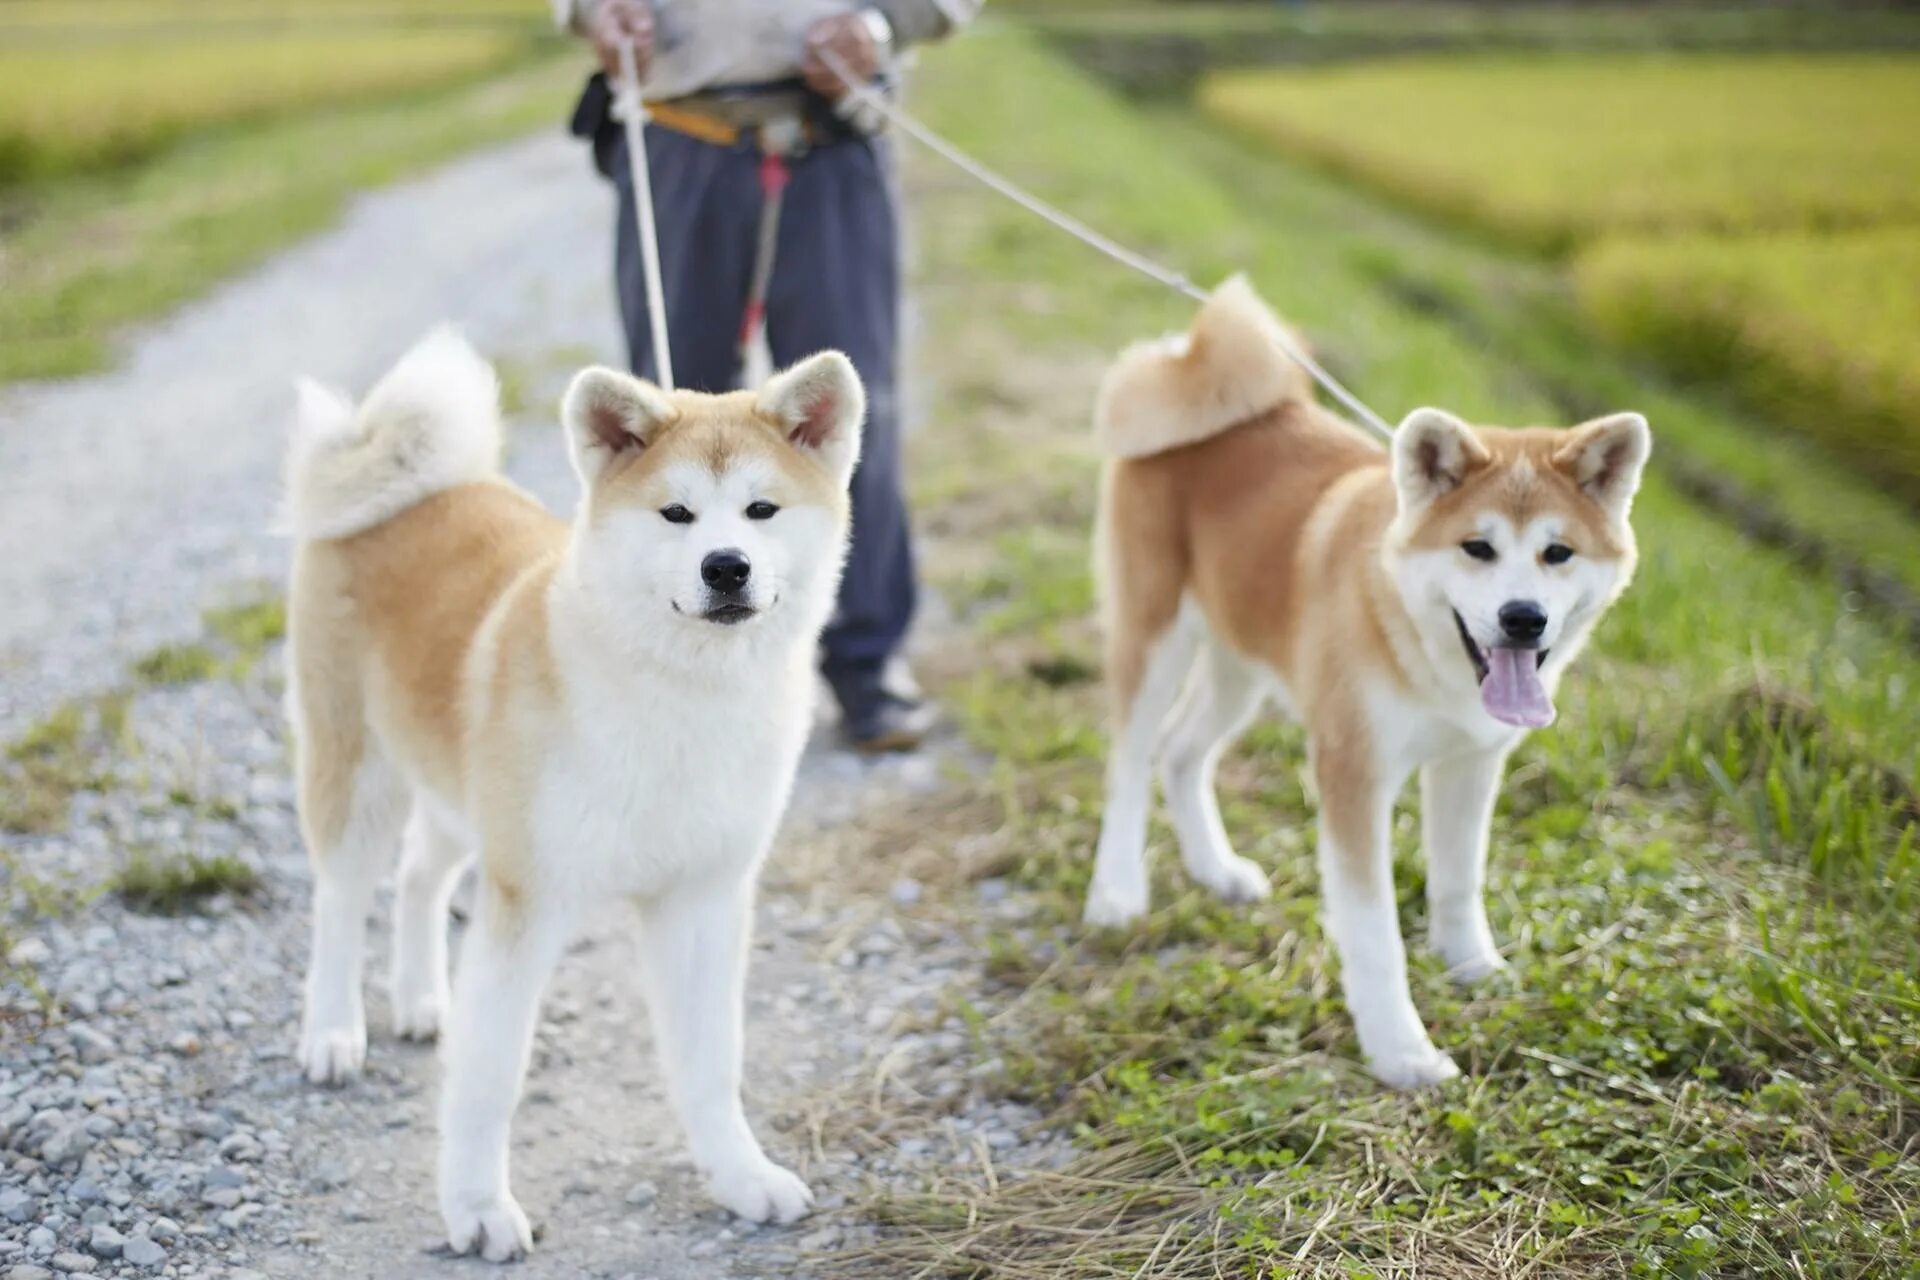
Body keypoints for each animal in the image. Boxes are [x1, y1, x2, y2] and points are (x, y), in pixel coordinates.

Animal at [280, 330, 860, 1258]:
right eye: (676, 514)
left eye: (761, 510)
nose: (726, 566)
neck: (680, 703)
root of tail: (411, 481)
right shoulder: (530, 901)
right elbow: (490, 1077)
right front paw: (477, 1208)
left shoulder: (703, 899)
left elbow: (711, 1064)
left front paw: (741, 1177)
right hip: (358, 771)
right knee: (341, 901)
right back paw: (334, 1032)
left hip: (458, 792)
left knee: (419, 878)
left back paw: (421, 1001)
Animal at [1082, 276, 1651, 1090]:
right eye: (1477, 547)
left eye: (1558, 553)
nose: (1523, 618)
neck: (1423, 650)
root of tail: (1186, 362)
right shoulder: (1353, 770)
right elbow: (1374, 929)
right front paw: (1400, 1049)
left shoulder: (1471, 764)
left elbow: (1458, 881)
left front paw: (1473, 965)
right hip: (1155, 632)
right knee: (1131, 761)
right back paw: (1117, 890)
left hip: (1241, 660)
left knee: (1181, 752)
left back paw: (1216, 869)